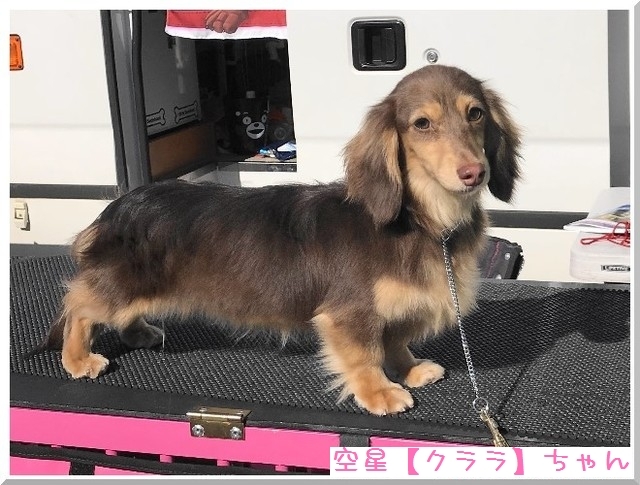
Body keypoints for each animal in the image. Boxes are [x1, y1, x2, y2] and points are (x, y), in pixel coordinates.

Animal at [41, 65, 520, 416]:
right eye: (422, 123)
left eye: (475, 113)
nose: (474, 173)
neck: (423, 219)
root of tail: (118, 206)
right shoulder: (350, 313)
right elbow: (365, 354)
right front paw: (379, 392)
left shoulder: (393, 308)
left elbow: (395, 340)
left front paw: (409, 370)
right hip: (120, 284)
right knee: (78, 306)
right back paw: (78, 359)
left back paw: (138, 331)